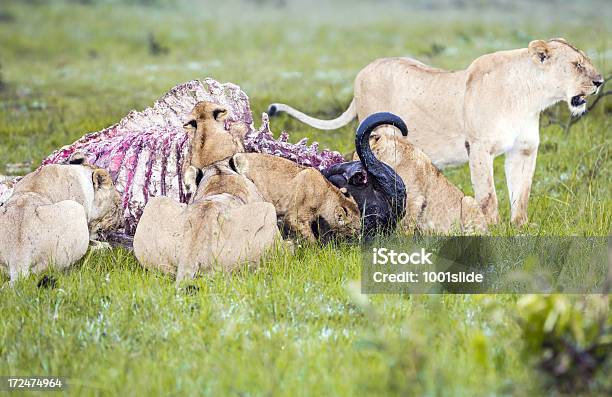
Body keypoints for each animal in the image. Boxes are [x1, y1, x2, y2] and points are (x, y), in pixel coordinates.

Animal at [232, 153, 360, 241]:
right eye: (355, 229)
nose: (359, 236)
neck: (326, 194)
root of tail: (240, 155)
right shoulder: (295, 217)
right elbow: (311, 239)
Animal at [268, 39, 604, 226]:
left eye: (586, 62)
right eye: (577, 65)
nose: (600, 81)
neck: (531, 96)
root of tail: (363, 72)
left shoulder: (524, 149)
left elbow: (521, 194)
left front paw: (520, 228)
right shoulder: (478, 147)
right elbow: (488, 196)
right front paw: (493, 227)